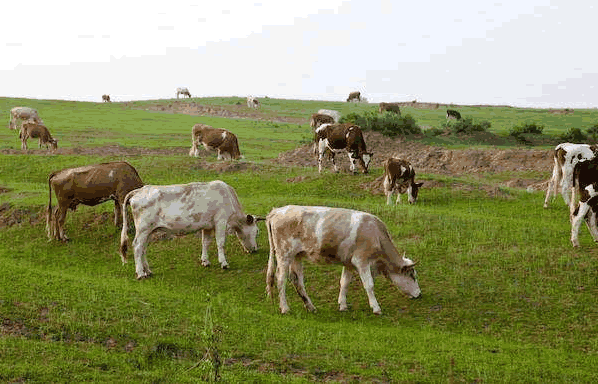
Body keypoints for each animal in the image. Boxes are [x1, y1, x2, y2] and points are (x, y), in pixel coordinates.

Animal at [119, 180, 264, 280]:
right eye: (257, 232)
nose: (255, 249)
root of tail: (139, 190)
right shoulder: (220, 221)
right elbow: (220, 243)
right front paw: (224, 263)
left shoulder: (207, 226)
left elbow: (205, 242)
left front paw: (205, 261)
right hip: (143, 229)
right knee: (137, 246)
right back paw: (140, 273)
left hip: (149, 230)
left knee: (143, 248)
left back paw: (148, 271)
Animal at [268, 206, 422, 314]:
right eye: (412, 275)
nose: (419, 294)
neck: (375, 233)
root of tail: (277, 211)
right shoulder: (361, 260)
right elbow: (369, 285)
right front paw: (376, 308)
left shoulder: (349, 263)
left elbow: (344, 283)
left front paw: (342, 305)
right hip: (284, 254)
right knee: (281, 279)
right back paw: (285, 308)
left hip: (297, 256)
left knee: (297, 281)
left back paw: (311, 307)